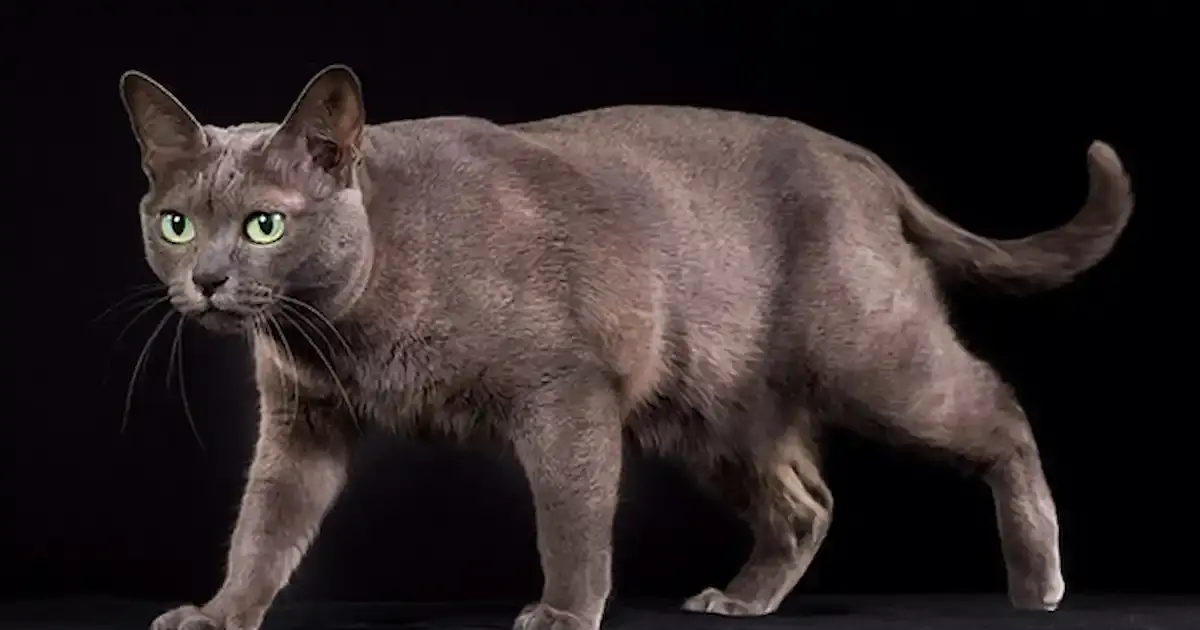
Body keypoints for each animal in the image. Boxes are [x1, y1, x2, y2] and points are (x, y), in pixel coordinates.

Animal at [120, 65, 1134, 630]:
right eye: (176, 223)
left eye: (263, 225)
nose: (206, 279)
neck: (346, 331)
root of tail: (862, 161)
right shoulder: (303, 418)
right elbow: (264, 526)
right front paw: (219, 615)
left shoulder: (569, 391)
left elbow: (570, 518)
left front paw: (566, 613)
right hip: (713, 412)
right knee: (806, 501)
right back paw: (742, 600)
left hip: (872, 357)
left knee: (999, 409)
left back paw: (1040, 581)